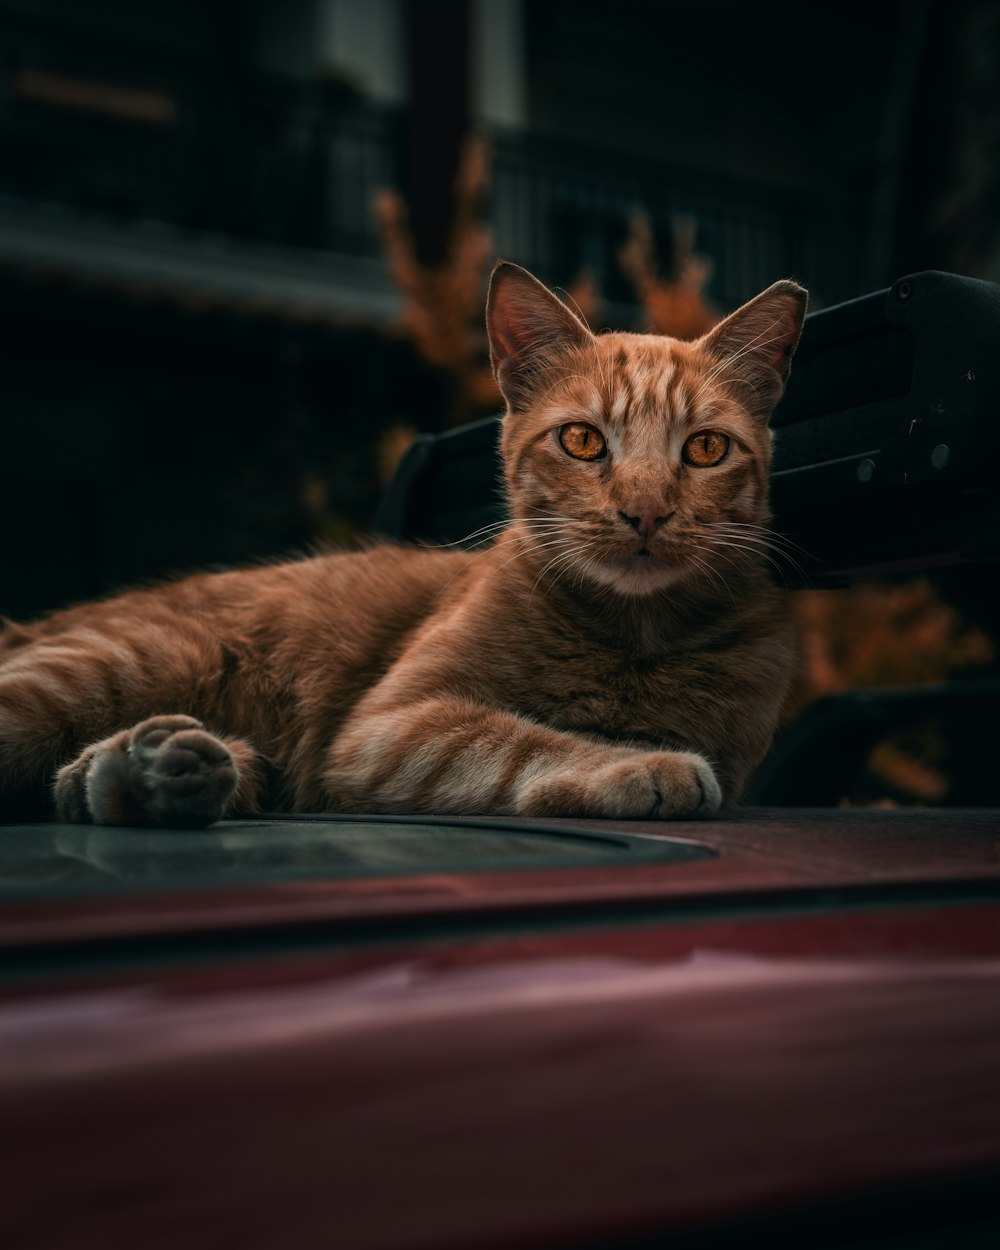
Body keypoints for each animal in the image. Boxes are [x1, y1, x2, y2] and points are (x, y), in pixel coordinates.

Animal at [0, 262, 805, 825]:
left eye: (705, 449)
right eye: (582, 441)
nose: (644, 512)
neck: (631, 640)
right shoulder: (389, 729)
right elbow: (519, 740)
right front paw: (639, 765)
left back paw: (153, 772)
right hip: (122, 663)